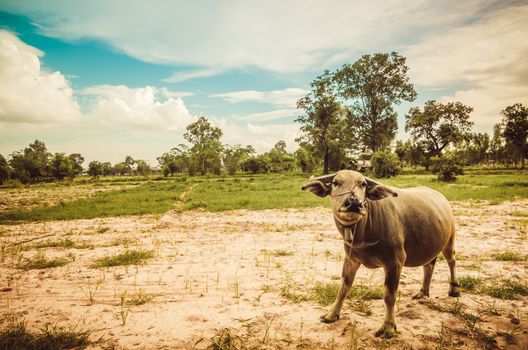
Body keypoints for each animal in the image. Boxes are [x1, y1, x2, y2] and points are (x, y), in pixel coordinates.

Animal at [304, 171, 460, 338]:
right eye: (335, 182)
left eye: (363, 184)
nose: (353, 202)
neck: (363, 233)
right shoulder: (351, 259)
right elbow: (343, 288)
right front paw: (331, 315)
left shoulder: (395, 261)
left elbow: (389, 295)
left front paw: (388, 327)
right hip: (428, 245)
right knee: (429, 265)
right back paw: (423, 292)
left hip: (449, 240)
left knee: (452, 260)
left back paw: (454, 289)